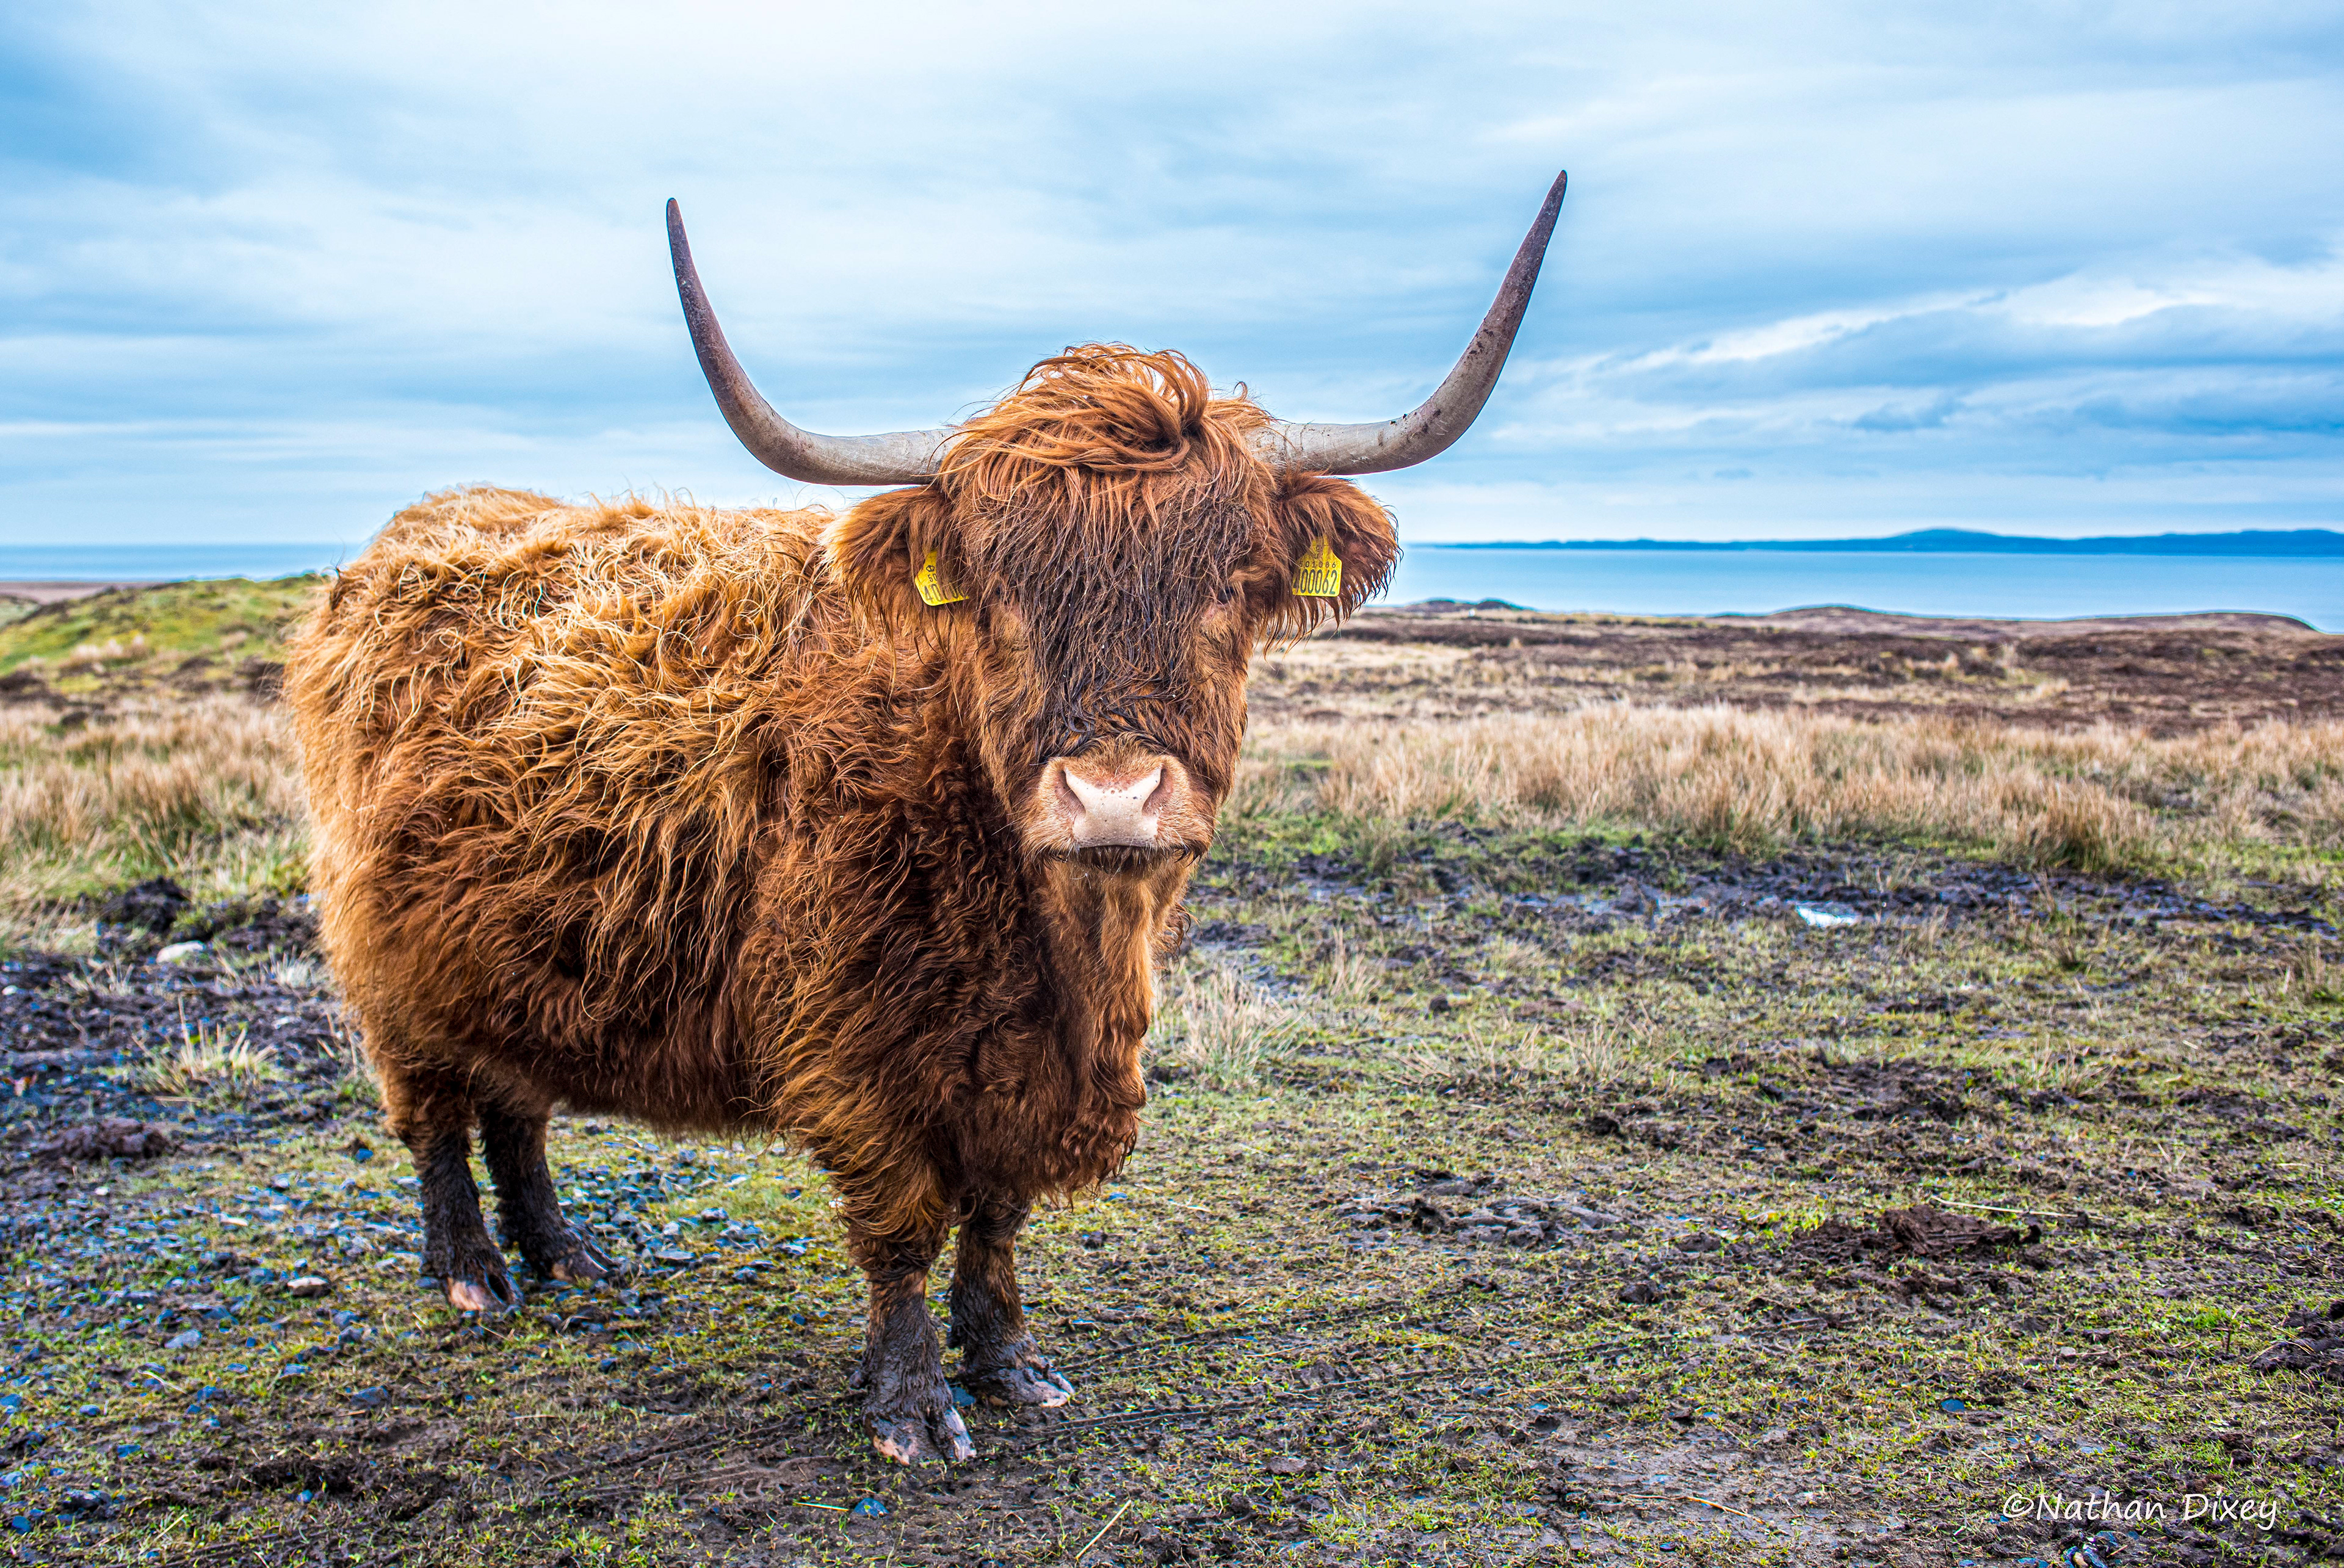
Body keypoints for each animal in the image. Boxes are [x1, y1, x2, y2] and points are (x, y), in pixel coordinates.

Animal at [283, 171, 1566, 1463]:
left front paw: (1008, 1363)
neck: (1047, 939)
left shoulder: (1025, 1070)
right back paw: (473, 1272)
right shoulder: (852, 1045)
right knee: (437, 1109)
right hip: (392, 959)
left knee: (518, 1103)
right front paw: (911, 1405)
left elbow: (996, 1214)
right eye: (997, 594)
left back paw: (566, 1252)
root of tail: (415, 535)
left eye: (1230, 586)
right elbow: (902, 1221)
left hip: (513, 950)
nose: (1112, 794)